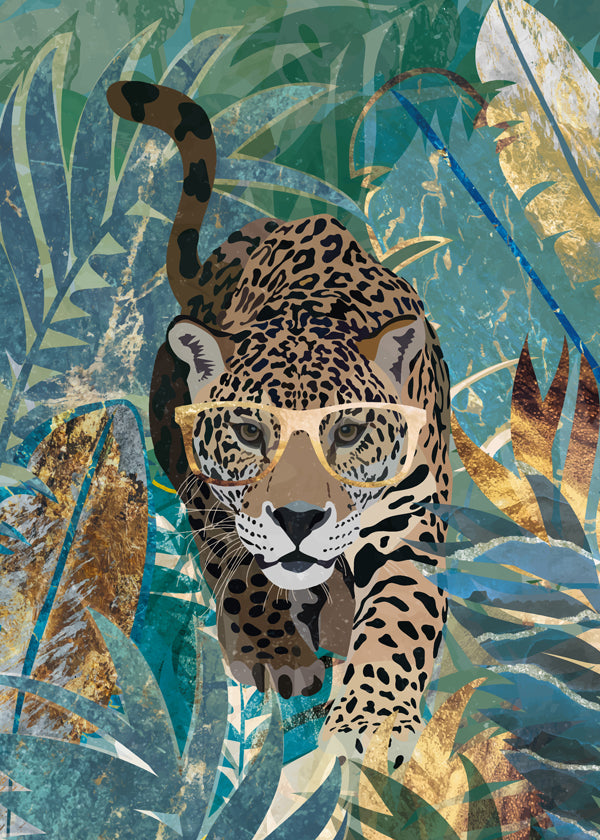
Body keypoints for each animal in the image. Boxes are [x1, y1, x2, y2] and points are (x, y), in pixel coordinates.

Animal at [107, 80, 451, 768]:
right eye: (248, 432)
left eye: (346, 432)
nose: (297, 520)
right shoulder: (209, 493)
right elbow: (240, 566)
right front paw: (273, 652)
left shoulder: (410, 526)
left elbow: (400, 616)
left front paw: (372, 722)